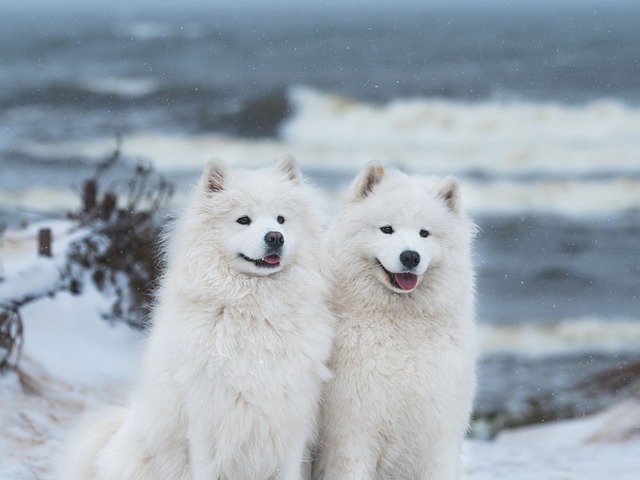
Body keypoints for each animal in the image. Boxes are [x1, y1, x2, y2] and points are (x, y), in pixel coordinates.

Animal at [314, 164, 476, 480]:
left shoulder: (438, 435)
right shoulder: (352, 434)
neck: (400, 323)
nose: (410, 256)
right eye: (387, 229)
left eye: (424, 233)